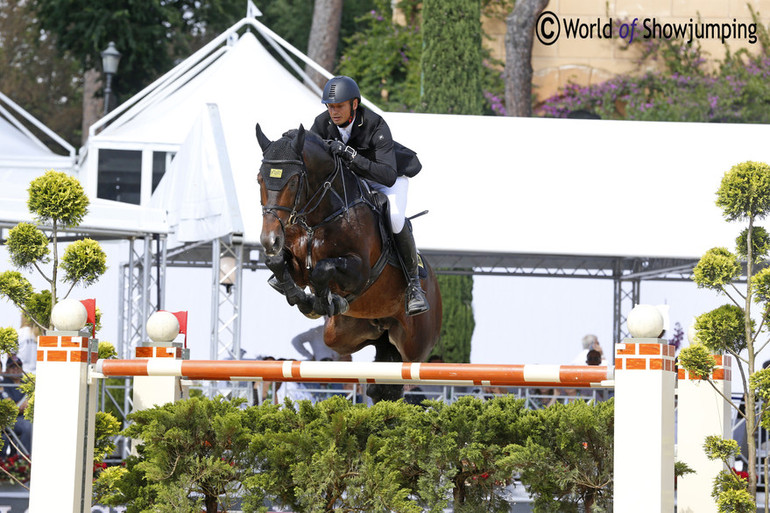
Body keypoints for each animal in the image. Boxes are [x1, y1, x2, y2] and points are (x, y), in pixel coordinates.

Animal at [255, 124, 440, 400]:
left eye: (295, 180)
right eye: (260, 179)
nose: (269, 240)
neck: (320, 217)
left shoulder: (359, 272)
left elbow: (322, 269)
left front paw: (322, 301)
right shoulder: (294, 261)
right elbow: (277, 264)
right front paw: (304, 298)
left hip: (415, 345)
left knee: (405, 369)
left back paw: (415, 297)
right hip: (341, 336)